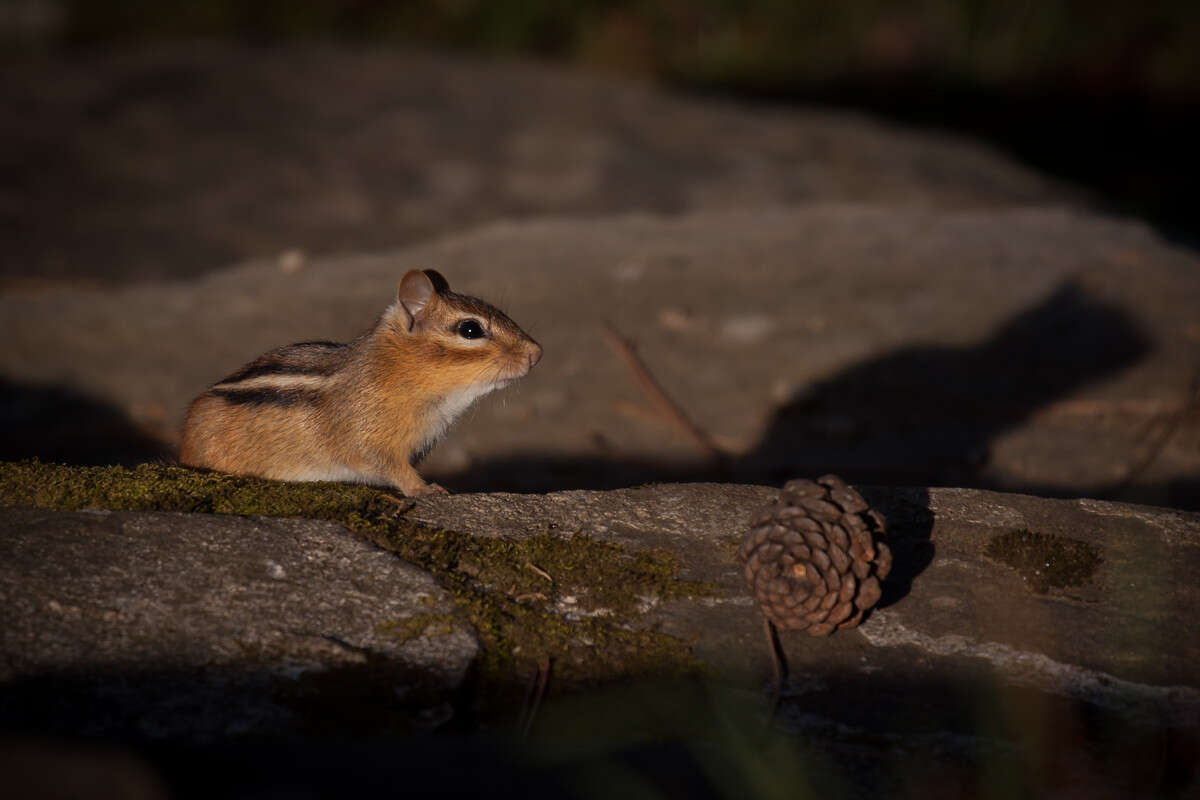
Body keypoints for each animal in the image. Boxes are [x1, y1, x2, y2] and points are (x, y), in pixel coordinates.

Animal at [179, 269, 541, 496]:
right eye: (470, 329)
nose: (536, 354)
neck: (398, 371)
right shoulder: (371, 439)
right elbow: (390, 468)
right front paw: (426, 489)